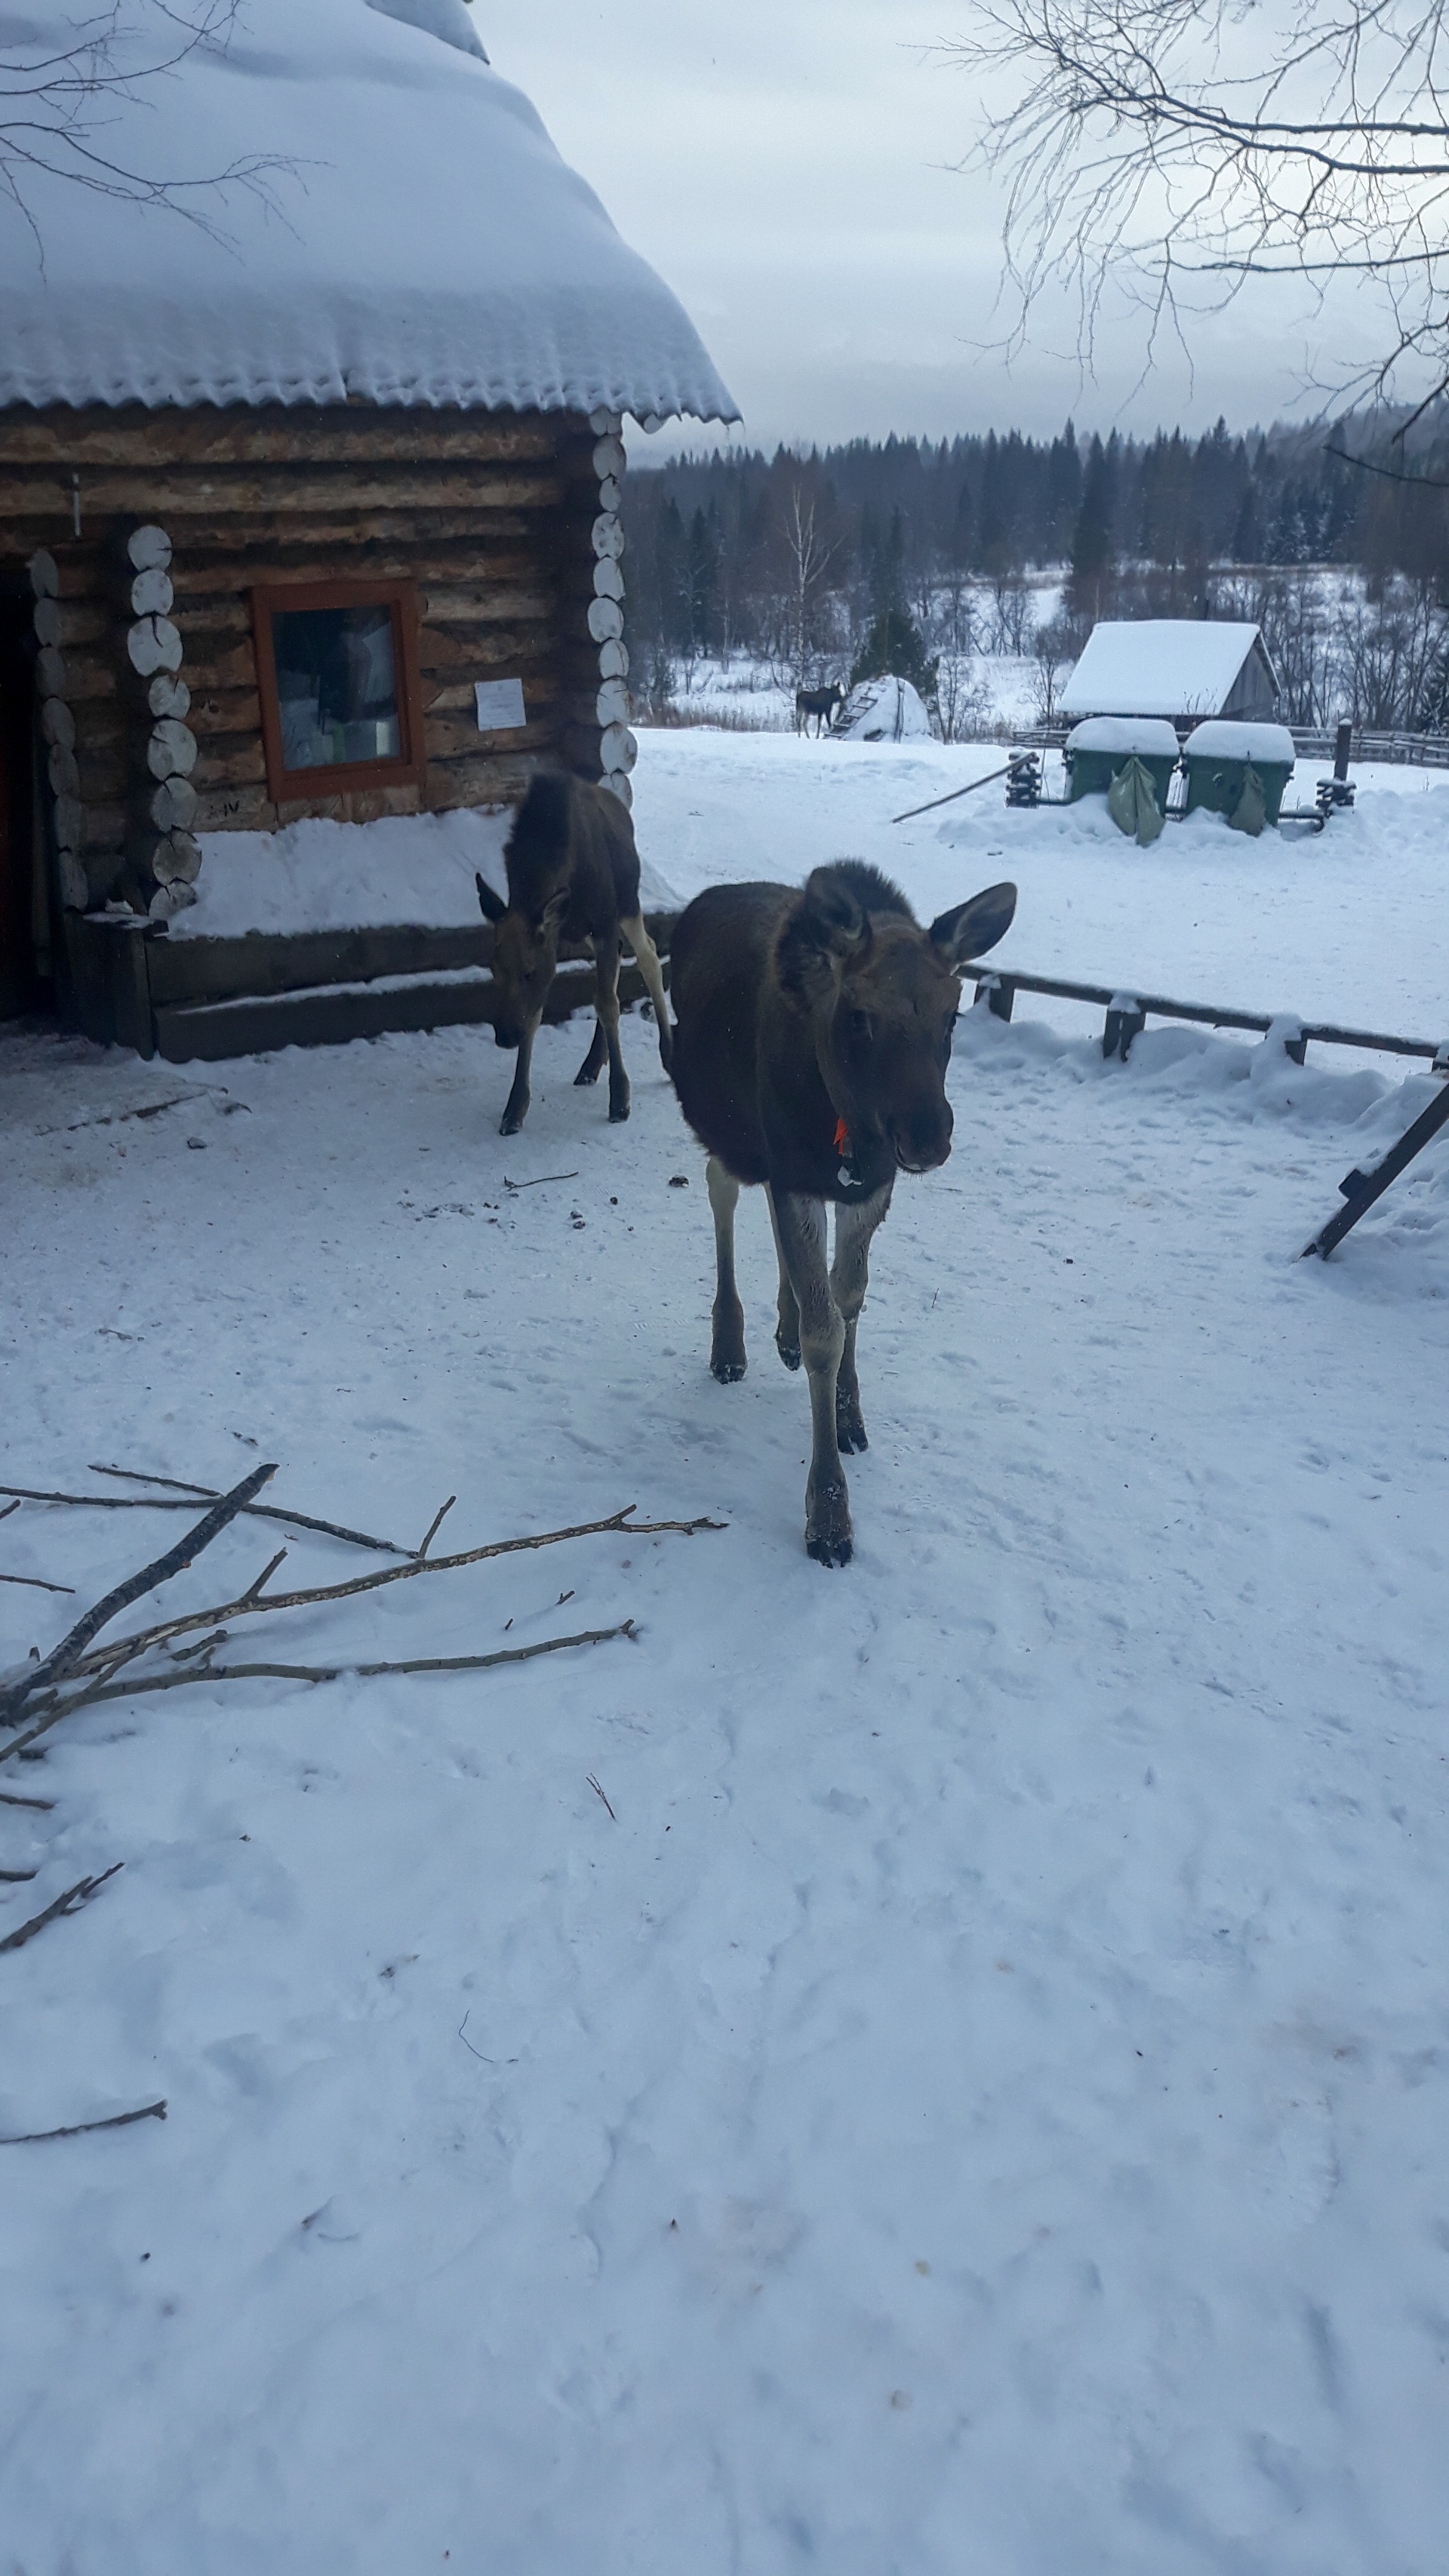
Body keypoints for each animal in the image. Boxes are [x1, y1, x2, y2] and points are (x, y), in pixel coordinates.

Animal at [481, 762, 674, 1128]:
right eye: (493, 969)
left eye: (528, 972)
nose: (505, 1036)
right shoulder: (557, 937)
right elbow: (539, 1013)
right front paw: (515, 1106)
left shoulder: (604, 923)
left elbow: (608, 1004)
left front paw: (620, 1098)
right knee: (616, 969)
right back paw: (591, 1064)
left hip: (628, 904)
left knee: (649, 955)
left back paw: (667, 1052)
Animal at [674, 855, 1014, 1556]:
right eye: (859, 1015)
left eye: (952, 1016)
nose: (928, 1135)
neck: (848, 1124)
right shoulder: (796, 1166)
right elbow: (825, 1330)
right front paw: (829, 1514)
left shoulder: (866, 1184)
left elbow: (847, 1295)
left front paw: (849, 1415)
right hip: (728, 1128)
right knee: (722, 1186)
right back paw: (730, 1341)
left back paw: (780, 1326)